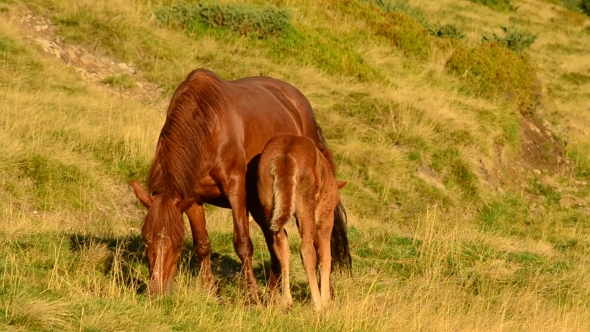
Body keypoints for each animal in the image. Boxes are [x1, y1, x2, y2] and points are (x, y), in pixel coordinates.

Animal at [258, 134, 346, 310]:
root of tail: (285, 155)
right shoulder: (325, 217)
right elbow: (325, 256)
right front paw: (326, 301)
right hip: (306, 210)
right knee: (307, 251)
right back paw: (318, 304)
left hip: (271, 209)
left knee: (281, 248)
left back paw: (287, 301)